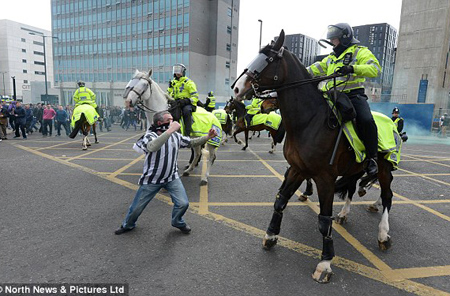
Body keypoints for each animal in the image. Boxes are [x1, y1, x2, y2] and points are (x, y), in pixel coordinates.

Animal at [234, 29, 396, 282]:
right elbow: (280, 201)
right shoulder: (297, 169)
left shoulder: (324, 178)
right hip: (354, 168)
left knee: (387, 196)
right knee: (352, 189)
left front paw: (325, 262)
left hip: (384, 168)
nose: (237, 89)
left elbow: (323, 219)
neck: (309, 121)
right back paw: (345, 213)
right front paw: (271, 236)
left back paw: (382, 234)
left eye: (268, 59)